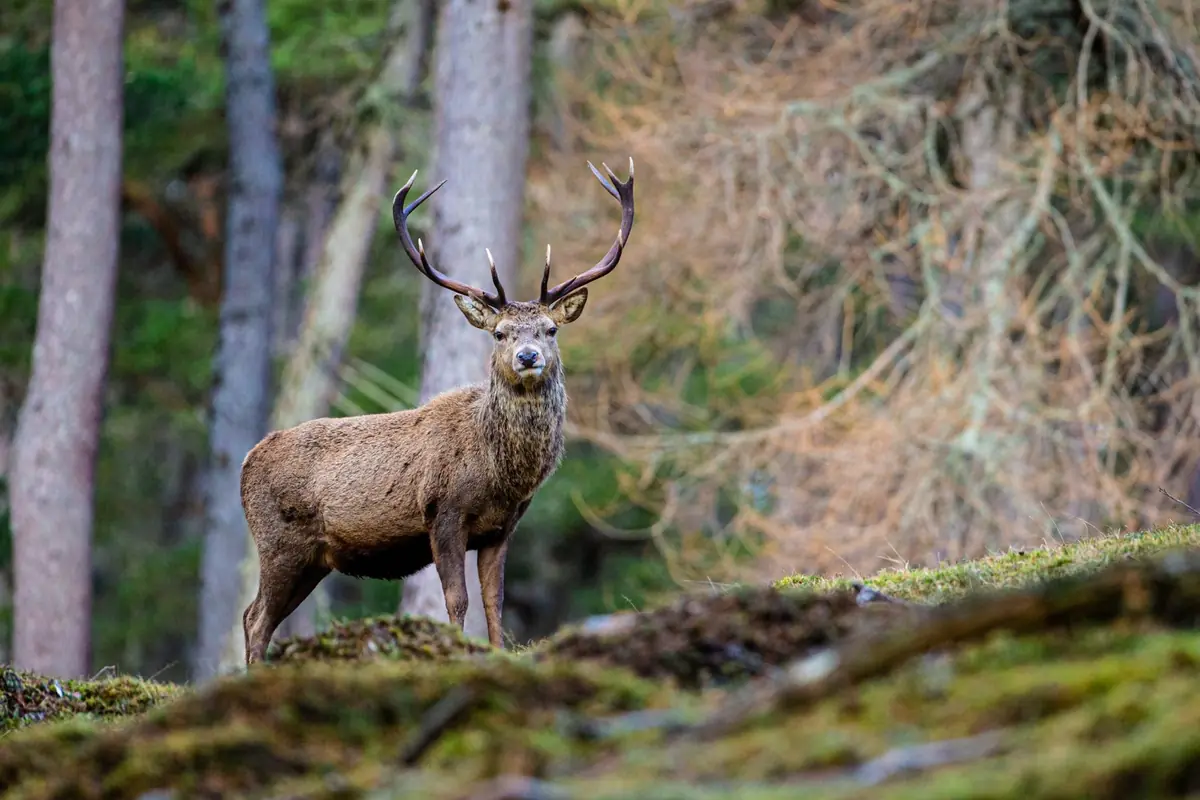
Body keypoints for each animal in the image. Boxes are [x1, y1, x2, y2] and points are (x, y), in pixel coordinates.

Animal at [238, 158, 636, 665]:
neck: (498, 471)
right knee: (256, 617)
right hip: (278, 541)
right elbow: (456, 599)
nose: (528, 356)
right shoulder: (443, 513)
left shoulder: (501, 529)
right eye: (500, 333)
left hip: (312, 559)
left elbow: (494, 601)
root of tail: (247, 461)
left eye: (550, 329)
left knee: (255, 615)